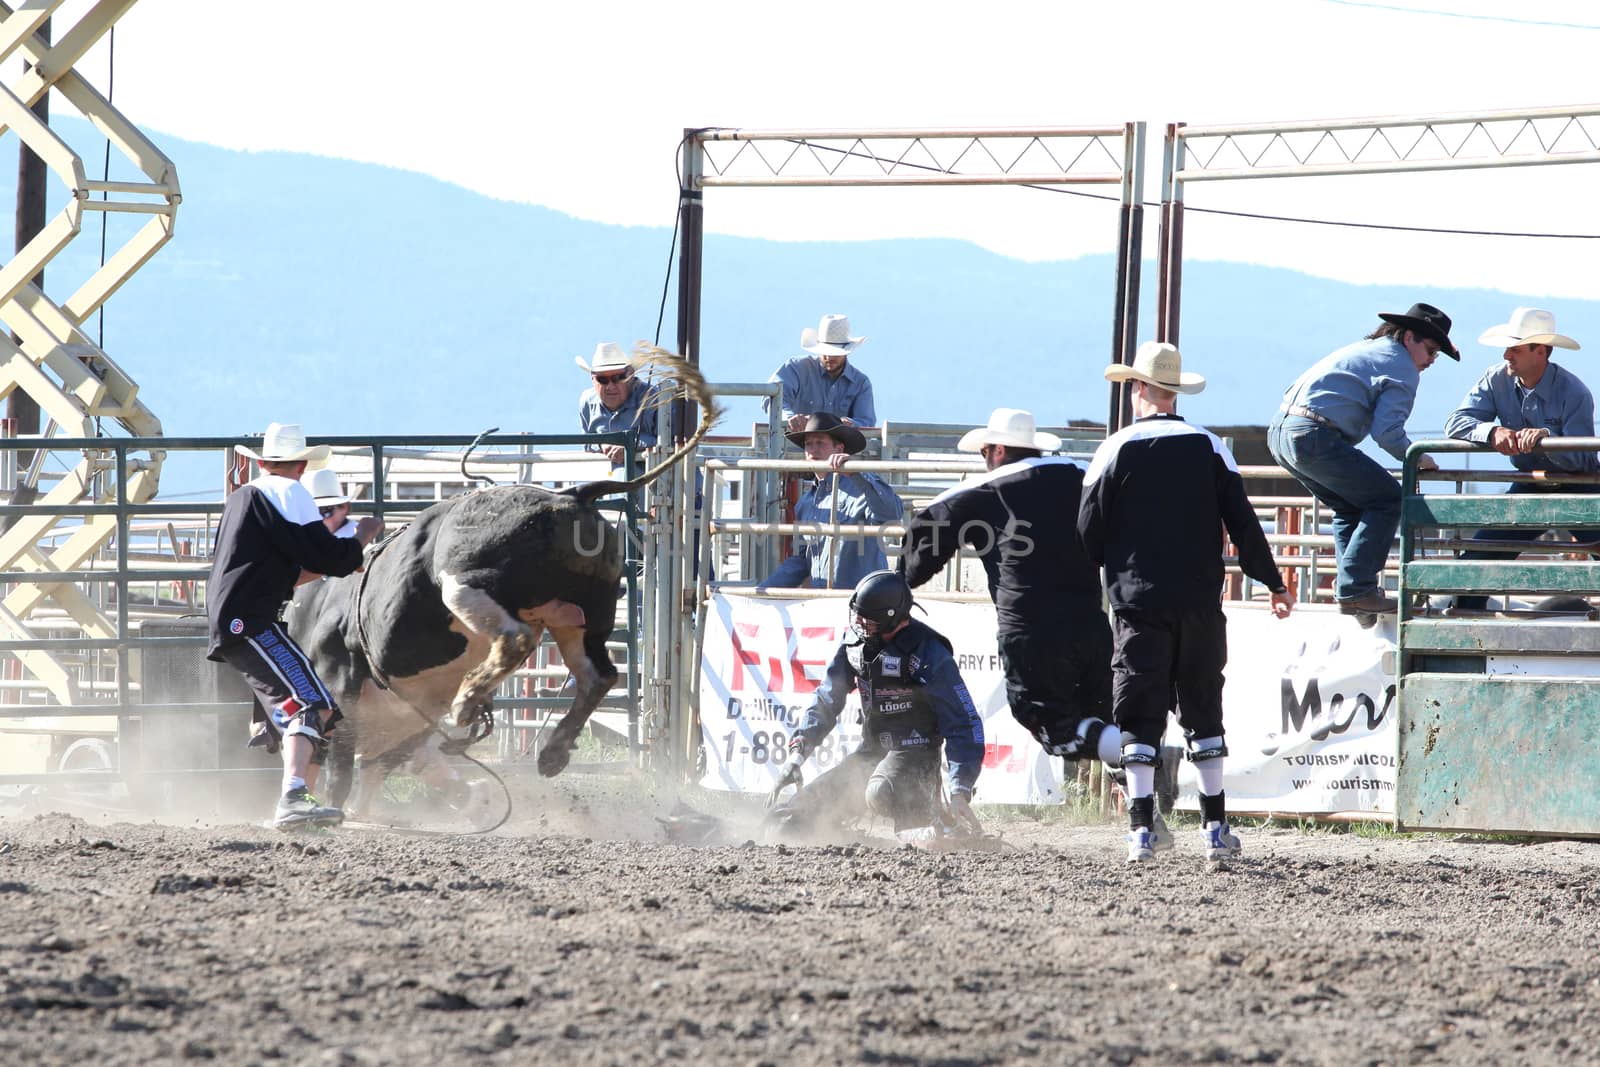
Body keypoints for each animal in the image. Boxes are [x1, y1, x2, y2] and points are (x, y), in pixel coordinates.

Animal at [284, 350, 716, 819]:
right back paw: (551, 750)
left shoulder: (344, 688)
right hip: (583, 613)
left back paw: (469, 701)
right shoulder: (411, 718)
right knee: (597, 674)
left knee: (517, 638)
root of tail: (570, 495)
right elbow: (380, 764)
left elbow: (345, 767)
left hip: (465, 581)